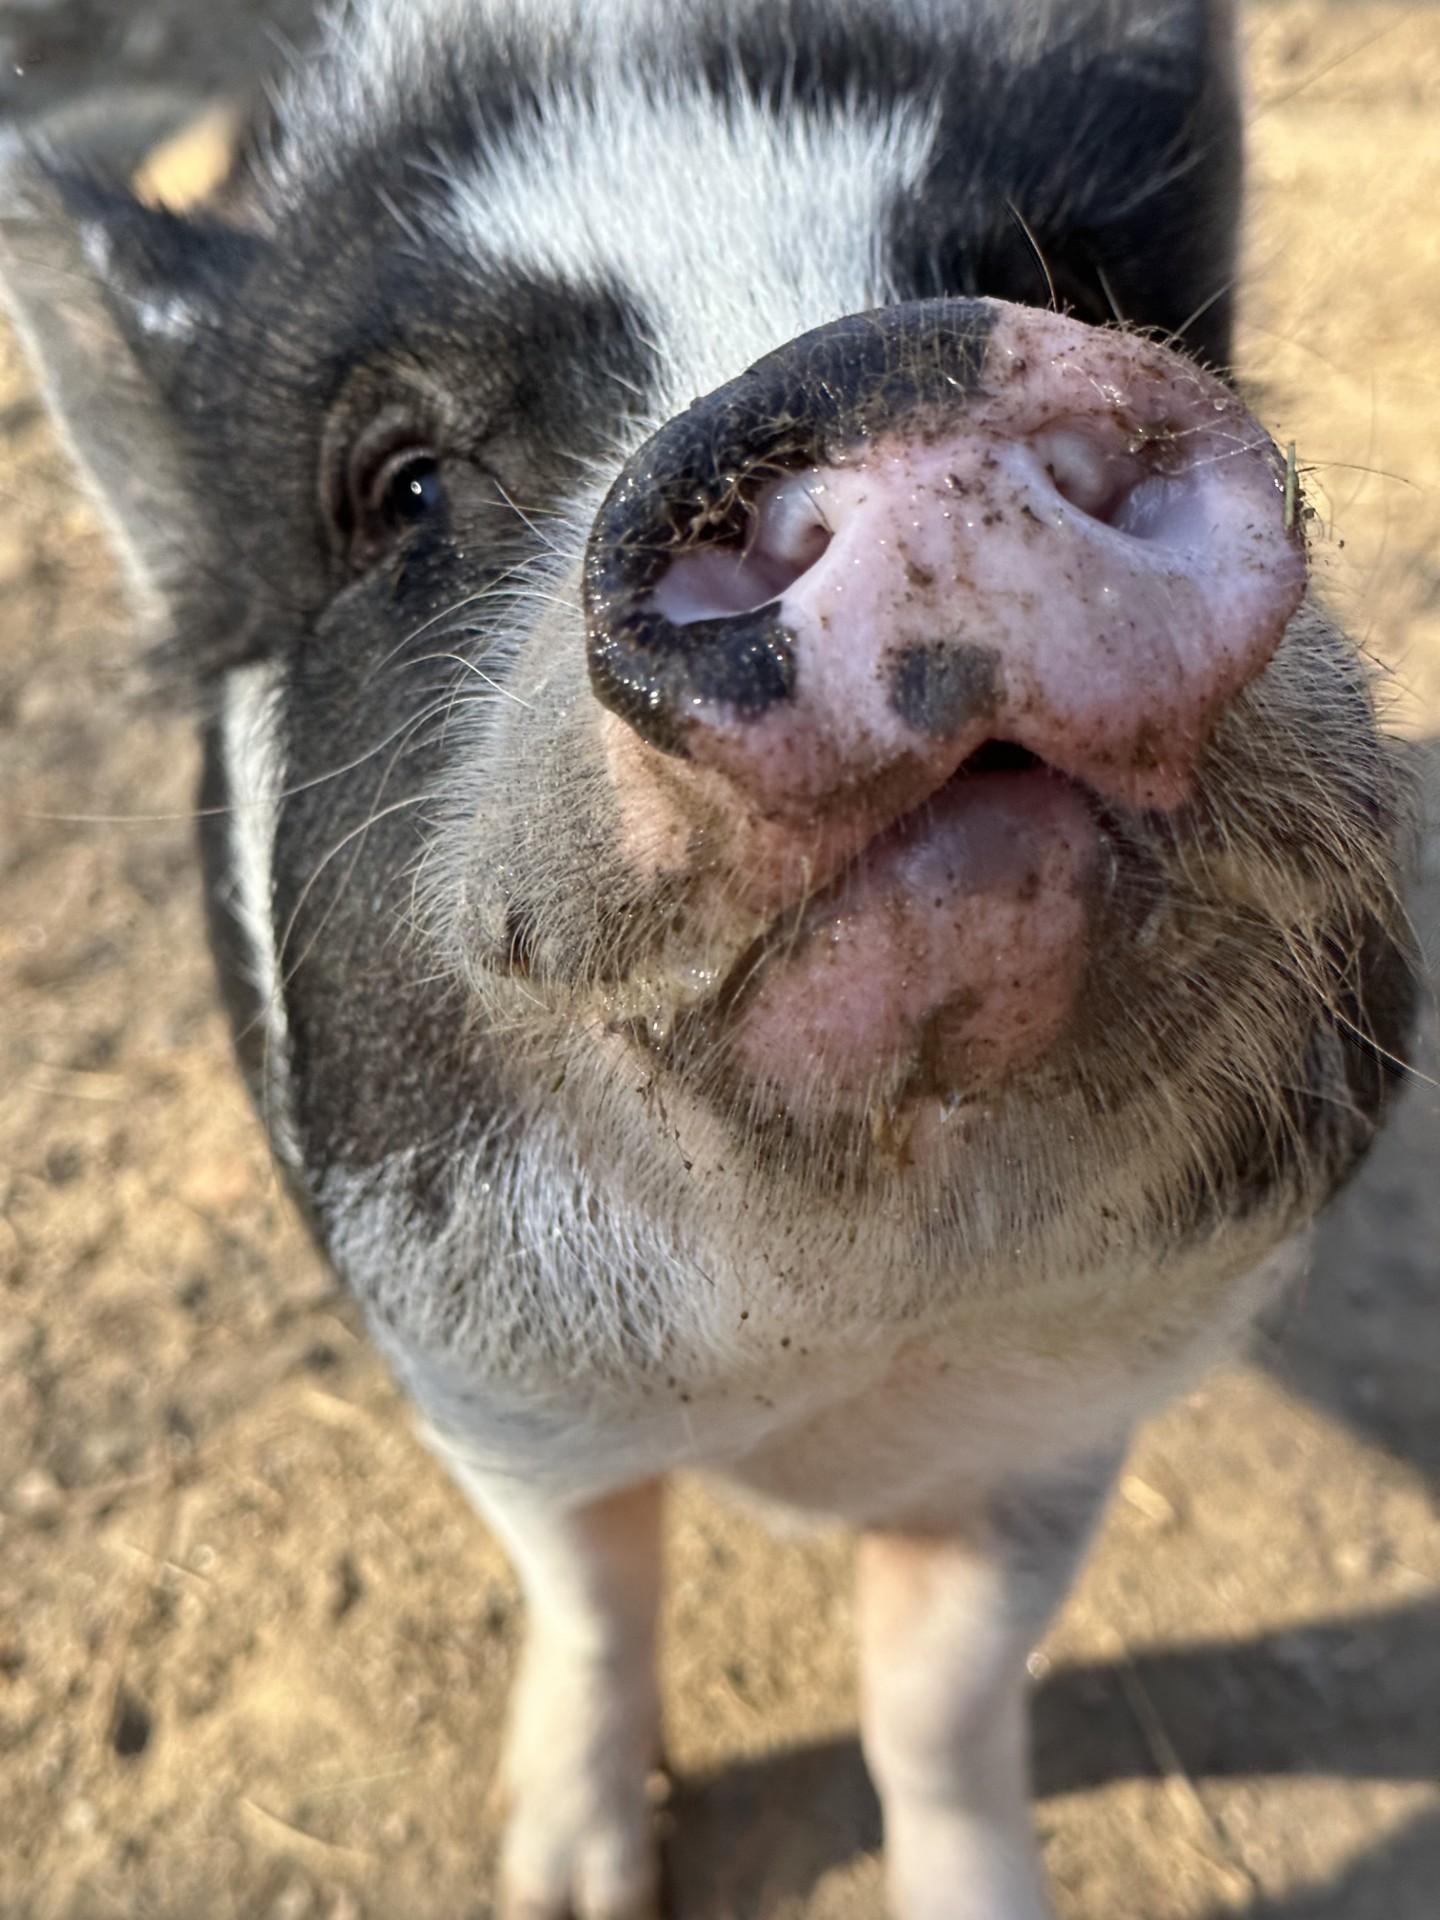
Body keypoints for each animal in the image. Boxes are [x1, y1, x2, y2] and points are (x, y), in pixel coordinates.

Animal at [0, 0, 1418, 1915]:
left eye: (1084, 283)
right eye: (402, 484)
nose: (885, 361)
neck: (827, 1371)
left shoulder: (1069, 1418)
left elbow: (942, 1701)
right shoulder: (485, 1393)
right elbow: (593, 1596)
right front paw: (564, 1885)